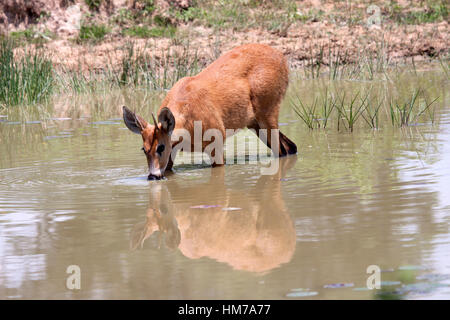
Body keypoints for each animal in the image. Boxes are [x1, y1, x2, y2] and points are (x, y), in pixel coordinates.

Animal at [123, 43, 298, 180]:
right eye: (144, 149)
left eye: (161, 147)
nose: (153, 176)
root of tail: (283, 60)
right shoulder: (173, 149)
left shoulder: (218, 137)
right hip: (254, 122)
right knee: (290, 147)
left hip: (269, 108)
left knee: (281, 148)